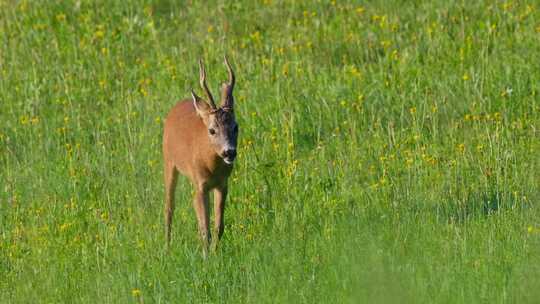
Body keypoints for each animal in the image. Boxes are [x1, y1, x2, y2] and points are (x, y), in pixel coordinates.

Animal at [161, 55, 239, 255]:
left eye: (236, 127)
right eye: (212, 130)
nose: (229, 151)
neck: (211, 166)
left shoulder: (222, 184)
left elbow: (218, 226)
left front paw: (215, 252)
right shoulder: (201, 185)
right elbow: (205, 228)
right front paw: (206, 255)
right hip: (169, 161)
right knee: (169, 206)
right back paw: (167, 247)